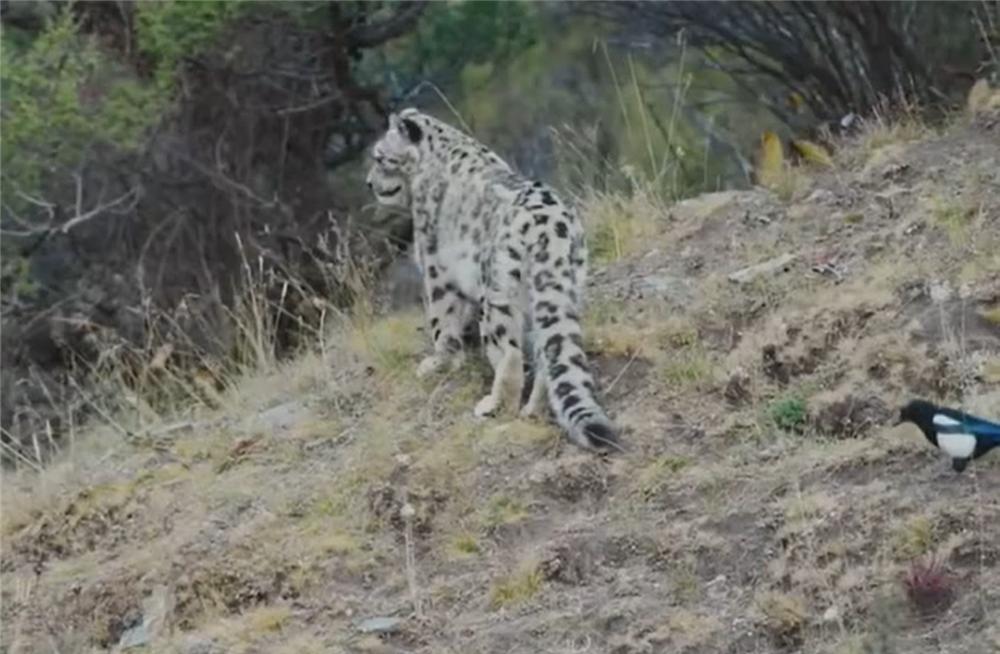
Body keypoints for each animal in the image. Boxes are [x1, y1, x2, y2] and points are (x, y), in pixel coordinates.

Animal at [364, 110, 620, 454]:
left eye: (381, 157)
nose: (369, 183)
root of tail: (550, 230)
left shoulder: (434, 265)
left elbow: (440, 320)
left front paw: (438, 362)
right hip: (559, 291)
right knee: (547, 355)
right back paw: (533, 410)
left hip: (498, 289)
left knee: (510, 355)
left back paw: (495, 406)